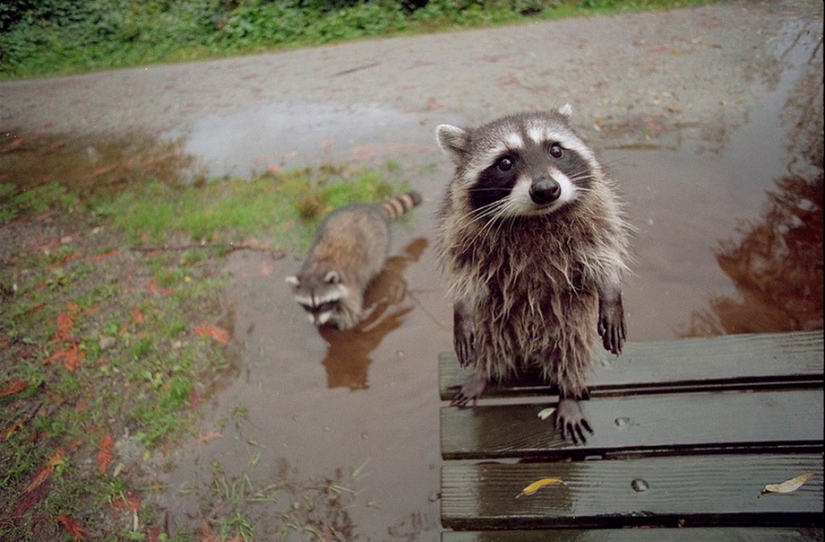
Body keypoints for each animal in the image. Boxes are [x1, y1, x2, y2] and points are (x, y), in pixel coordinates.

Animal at [286, 193, 422, 334]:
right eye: (307, 306)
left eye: (323, 304)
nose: (316, 322)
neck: (319, 267)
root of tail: (373, 209)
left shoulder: (351, 286)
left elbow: (350, 309)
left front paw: (344, 322)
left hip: (379, 245)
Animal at [434, 107, 628, 446]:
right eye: (505, 163)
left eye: (556, 150)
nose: (547, 190)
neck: (534, 217)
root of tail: (529, 347)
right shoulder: (461, 226)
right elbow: (465, 269)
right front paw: (462, 308)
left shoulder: (598, 210)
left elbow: (602, 251)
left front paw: (610, 292)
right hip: (495, 322)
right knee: (490, 343)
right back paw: (483, 375)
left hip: (569, 321)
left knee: (571, 351)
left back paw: (568, 393)